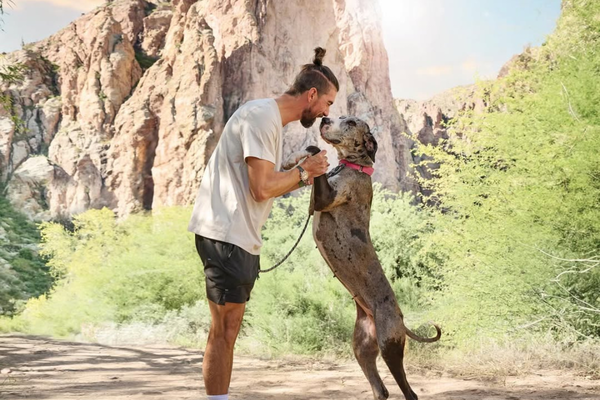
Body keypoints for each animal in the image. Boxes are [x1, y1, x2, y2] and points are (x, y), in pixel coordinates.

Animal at [292, 116, 440, 400]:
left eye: (350, 122)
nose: (325, 118)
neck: (354, 167)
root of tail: (401, 319)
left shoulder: (326, 198)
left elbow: (318, 171)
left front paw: (313, 152)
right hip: (361, 348)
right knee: (380, 390)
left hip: (390, 347)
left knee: (408, 392)